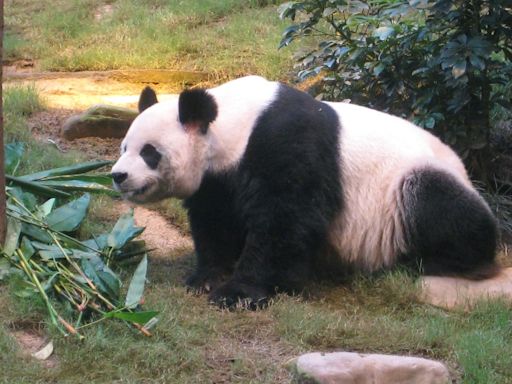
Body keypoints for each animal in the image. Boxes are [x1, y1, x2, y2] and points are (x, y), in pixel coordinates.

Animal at [110, 76, 498, 306]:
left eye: (149, 152)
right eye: (124, 146)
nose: (118, 175)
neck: (234, 125)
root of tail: (464, 169)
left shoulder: (287, 144)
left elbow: (285, 221)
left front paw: (238, 293)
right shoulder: (217, 180)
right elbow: (215, 221)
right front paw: (205, 278)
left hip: (411, 182)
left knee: (440, 207)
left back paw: (421, 260)